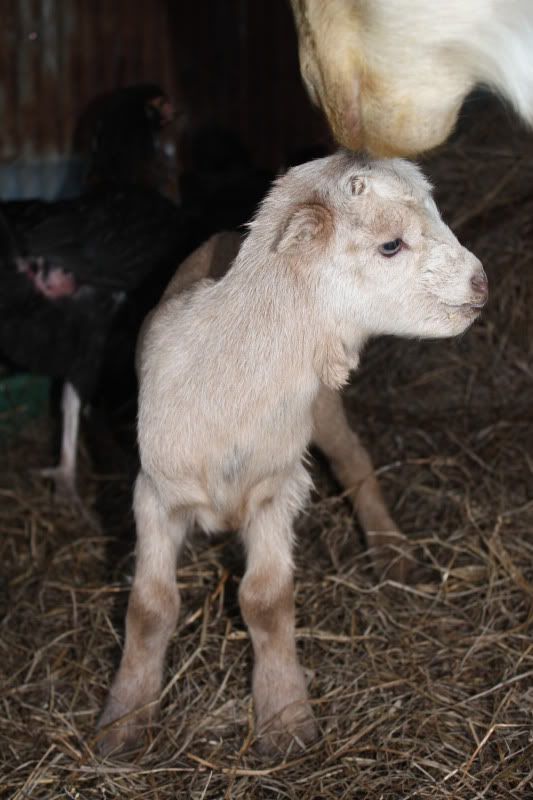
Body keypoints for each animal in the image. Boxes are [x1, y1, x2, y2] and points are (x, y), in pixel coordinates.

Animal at [98, 152, 486, 756]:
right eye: (390, 245)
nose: (481, 282)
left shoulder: (276, 487)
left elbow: (265, 600)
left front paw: (284, 717)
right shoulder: (156, 491)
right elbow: (150, 607)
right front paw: (125, 719)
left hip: (323, 409)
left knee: (354, 461)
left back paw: (391, 549)